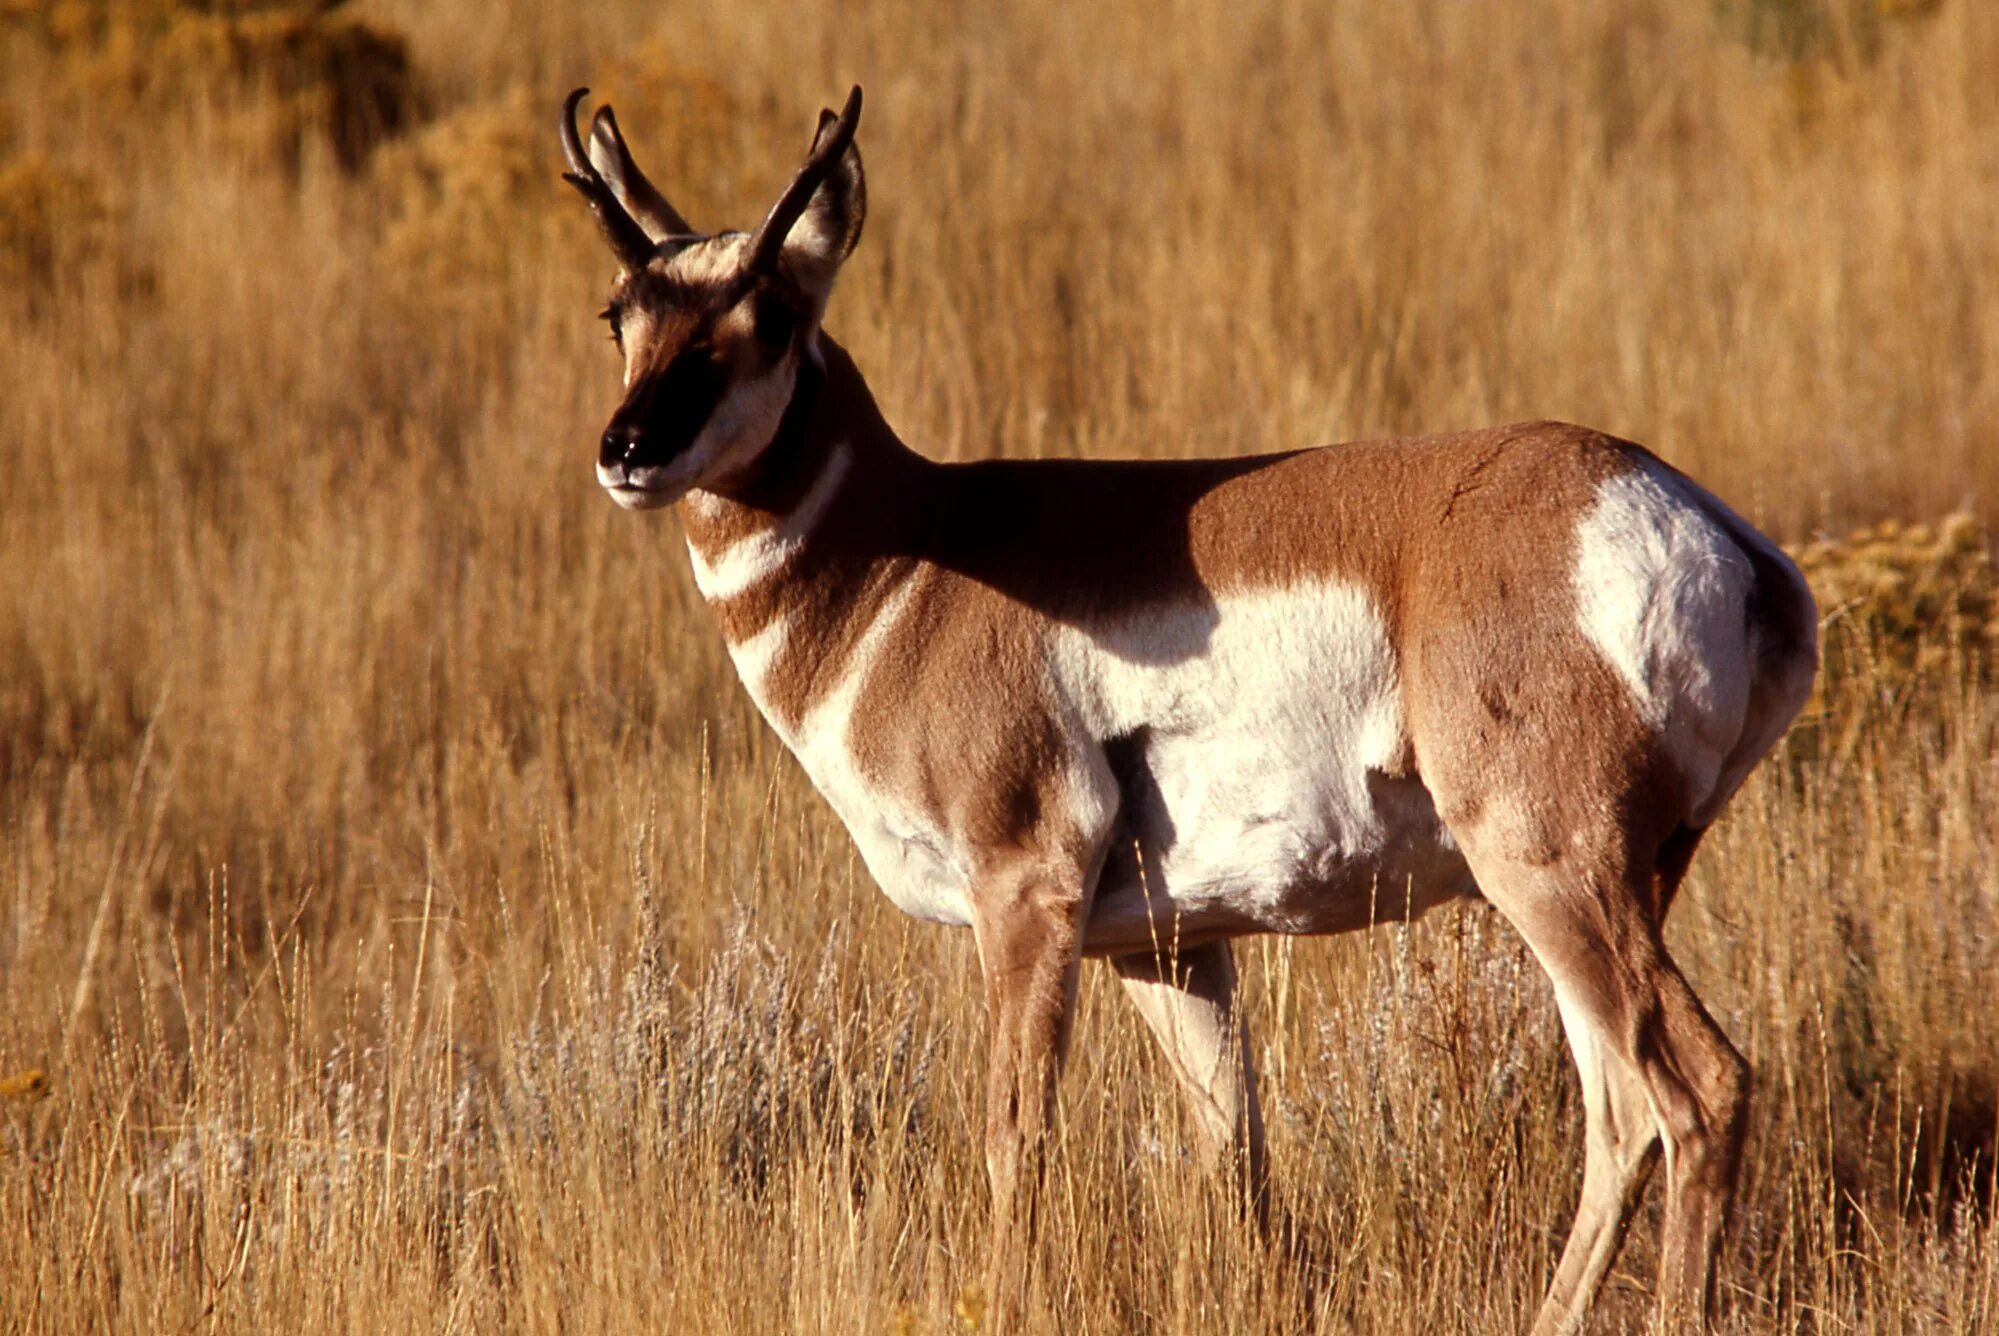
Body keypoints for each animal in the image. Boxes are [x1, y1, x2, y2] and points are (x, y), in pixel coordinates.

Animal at [555, 88, 1823, 1328]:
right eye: (621, 316)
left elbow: (1017, 1142)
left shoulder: (1026, 894)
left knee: (1697, 1090)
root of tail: (1711, 530)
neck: (915, 553)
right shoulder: (1165, 949)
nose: (625, 450)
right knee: (1620, 1113)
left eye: (765, 318)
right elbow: (1237, 1154)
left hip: (1553, 870)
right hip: (1613, 887)